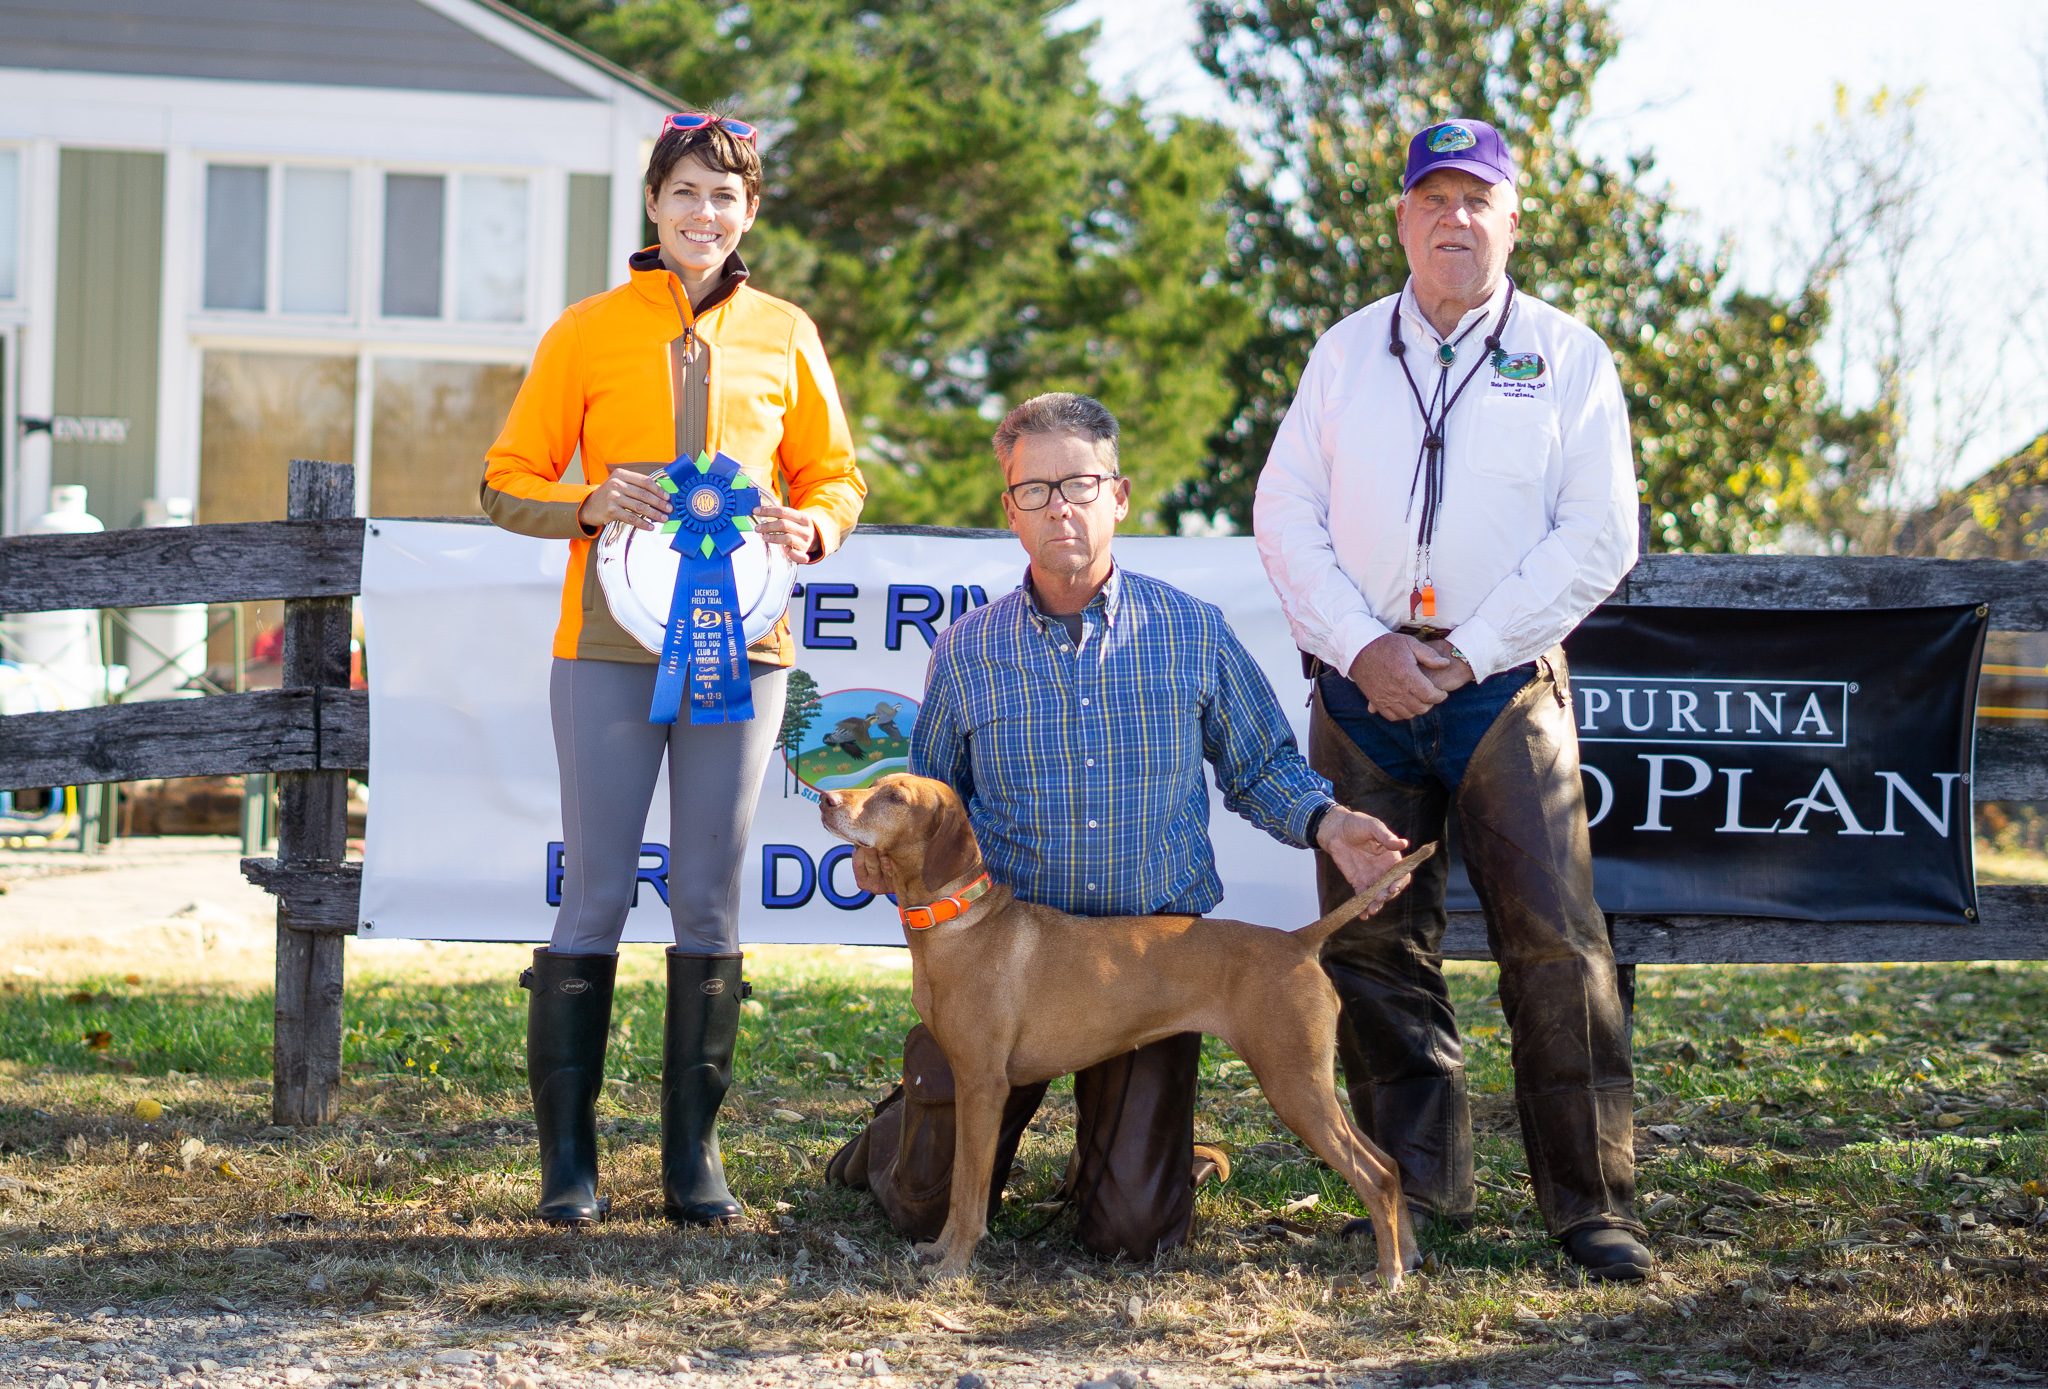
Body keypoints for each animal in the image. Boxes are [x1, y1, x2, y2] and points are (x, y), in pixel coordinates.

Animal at [811, 778, 1425, 1286]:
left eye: (895, 796)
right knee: (1391, 1165)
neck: (959, 921)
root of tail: (1298, 940)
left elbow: (968, 1189)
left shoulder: (983, 1086)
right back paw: (1411, 1255)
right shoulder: (969, 1084)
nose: (825, 799)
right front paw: (939, 1251)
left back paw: (1388, 1273)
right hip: (1310, 1085)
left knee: (1373, 1174)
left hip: (1293, 1083)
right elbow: (963, 1184)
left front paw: (955, 1264)